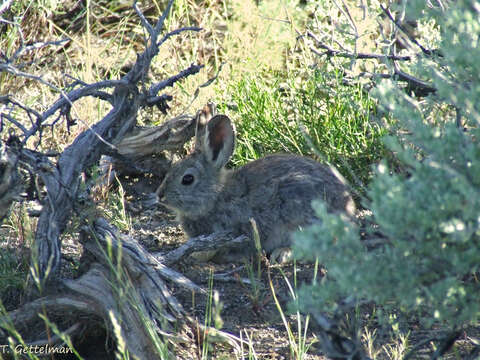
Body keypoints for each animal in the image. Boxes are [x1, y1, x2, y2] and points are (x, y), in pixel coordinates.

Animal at [156, 105, 354, 262]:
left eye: (187, 179)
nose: (160, 195)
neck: (216, 196)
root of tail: (349, 212)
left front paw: (198, 255)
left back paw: (282, 253)